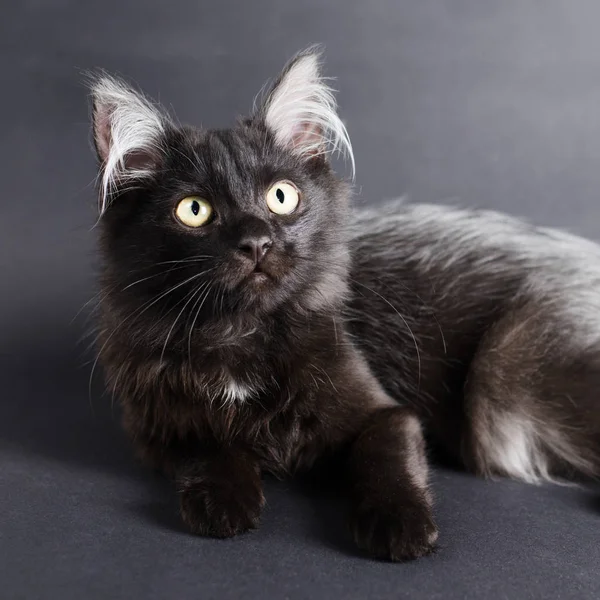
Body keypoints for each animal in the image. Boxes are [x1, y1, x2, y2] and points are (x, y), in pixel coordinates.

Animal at [88, 44, 600, 560]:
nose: (256, 242)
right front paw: (223, 502)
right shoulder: (159, 425)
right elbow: (208, 445)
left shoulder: (386, 412)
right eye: (194, 210)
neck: (242, 333)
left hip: (506, 366)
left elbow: (385, 458)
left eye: (281, 197)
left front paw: (401, 525)